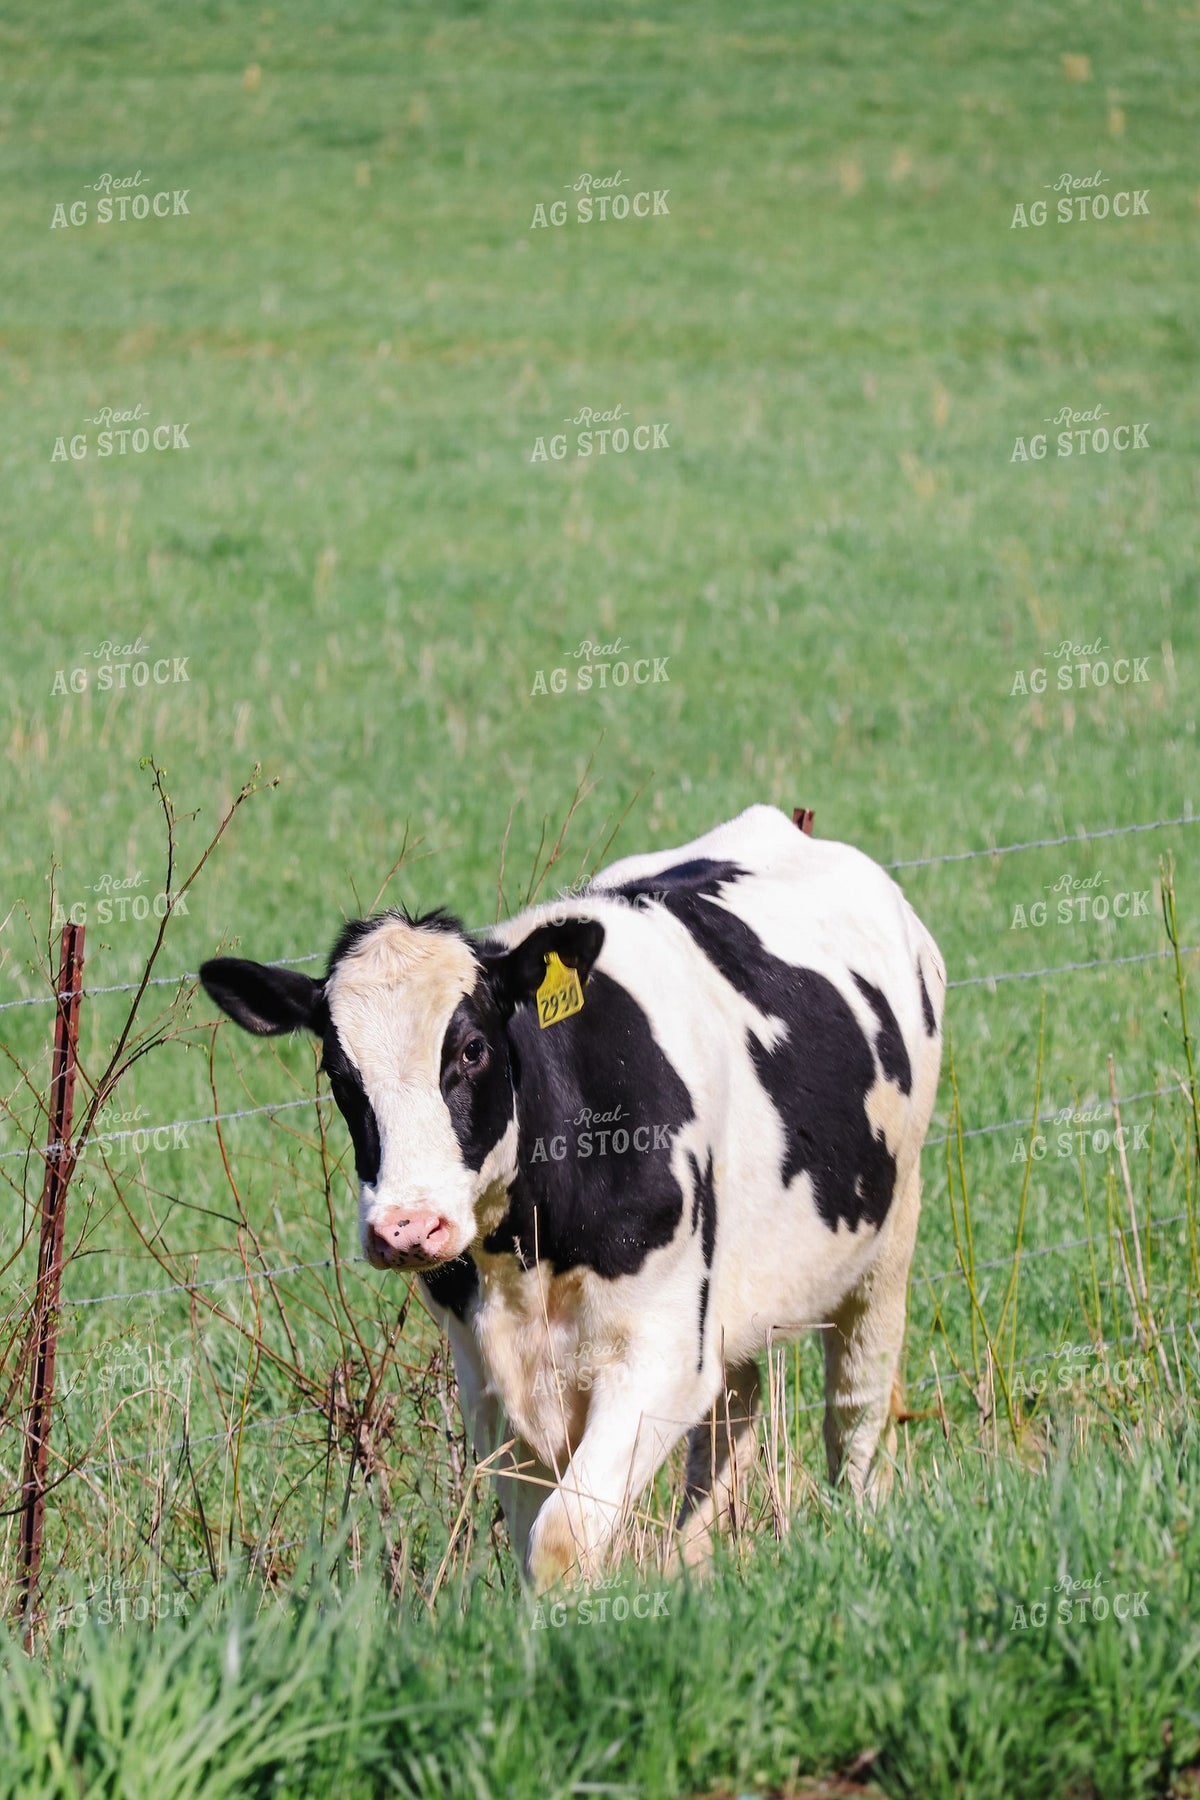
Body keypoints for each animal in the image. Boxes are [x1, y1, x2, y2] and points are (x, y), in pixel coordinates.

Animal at [199, 804, 945, 1591]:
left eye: (472, 1049)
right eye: (337, 1071)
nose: (406, 1228)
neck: (528, 1250)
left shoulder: (661, 1350)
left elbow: (561, 1539)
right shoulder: (487, 1377)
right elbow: (532, 1531)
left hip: (887, 1241)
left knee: (857, 1407)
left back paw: (858, 1522)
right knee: (728, 1424)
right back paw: (692, 1566)